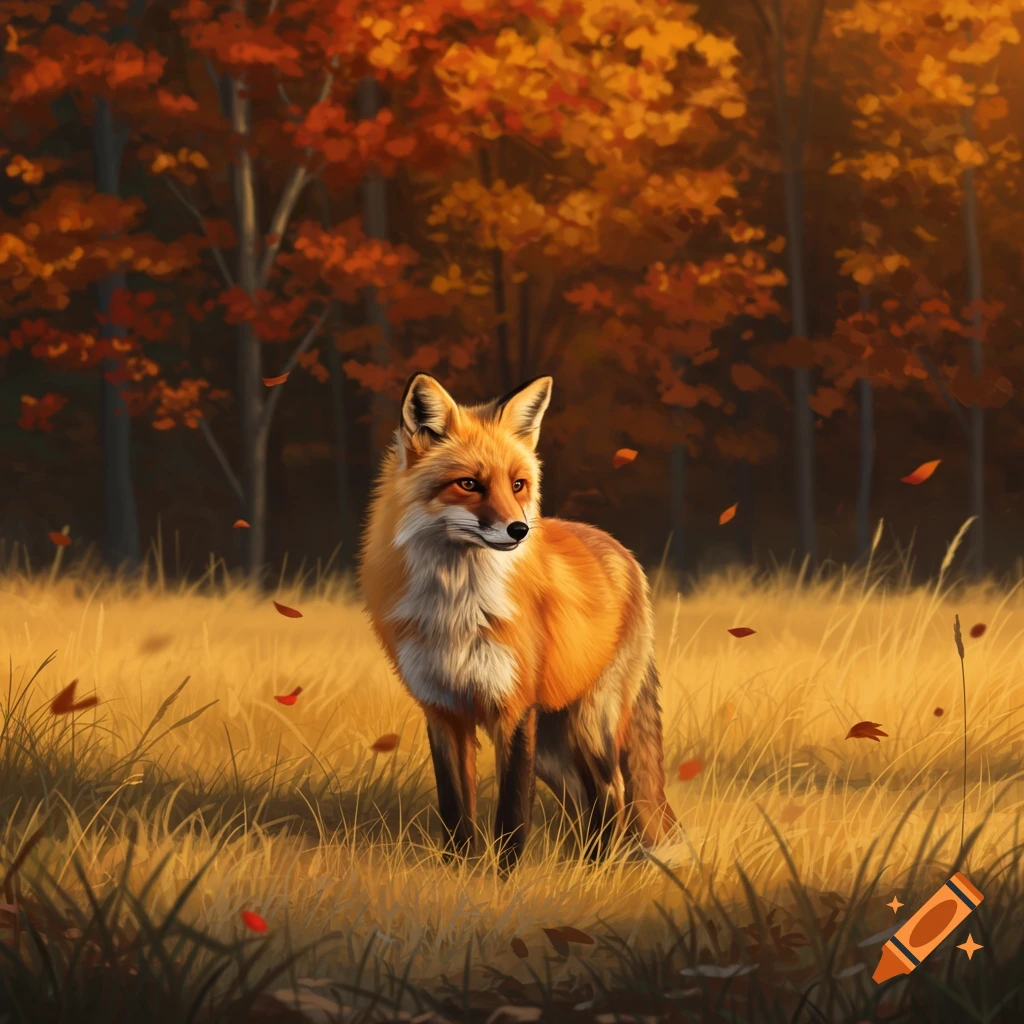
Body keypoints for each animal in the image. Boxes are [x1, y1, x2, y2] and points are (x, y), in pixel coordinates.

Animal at [358, 372, 677, 870]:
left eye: (519, 484)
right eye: (468, 484)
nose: (520, 530)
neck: (458, 608)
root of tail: (621, 551)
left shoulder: (514, 709)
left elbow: (511, 816)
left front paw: (504, 879)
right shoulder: (443, 710)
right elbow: (456, 812)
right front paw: (458, 874)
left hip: (591, 727)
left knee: (613, 792)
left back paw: (600, 869)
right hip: (553, 747)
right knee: (582, 797)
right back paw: (584, 865)